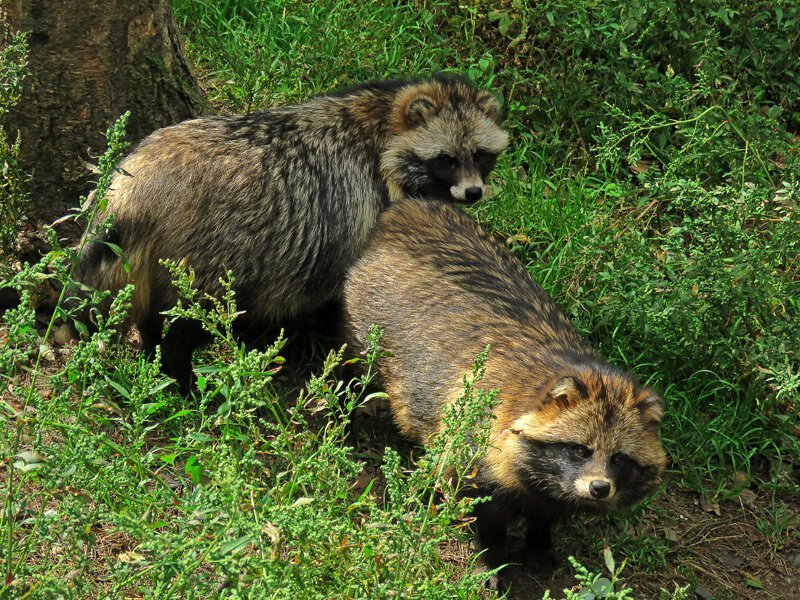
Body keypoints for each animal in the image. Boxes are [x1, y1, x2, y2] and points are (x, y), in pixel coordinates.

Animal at [73, 74, 506, 394]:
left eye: (481, 155)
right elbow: (340, 291)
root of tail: (140, 182)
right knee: (196, 314)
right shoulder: (356, 212)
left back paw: (151, 349)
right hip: (209, 248)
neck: (381, 120)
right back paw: (178, 371)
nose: (473, 192)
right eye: (447, 160)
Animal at [344, 198, 668, 592]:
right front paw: (491, 560)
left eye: (620, 458)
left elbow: (546, 512)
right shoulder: (474, 447)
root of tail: (412, 207)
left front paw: (540, 540)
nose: (599, 488)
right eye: (580, 450)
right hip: (365, 325)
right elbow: (484, 512)